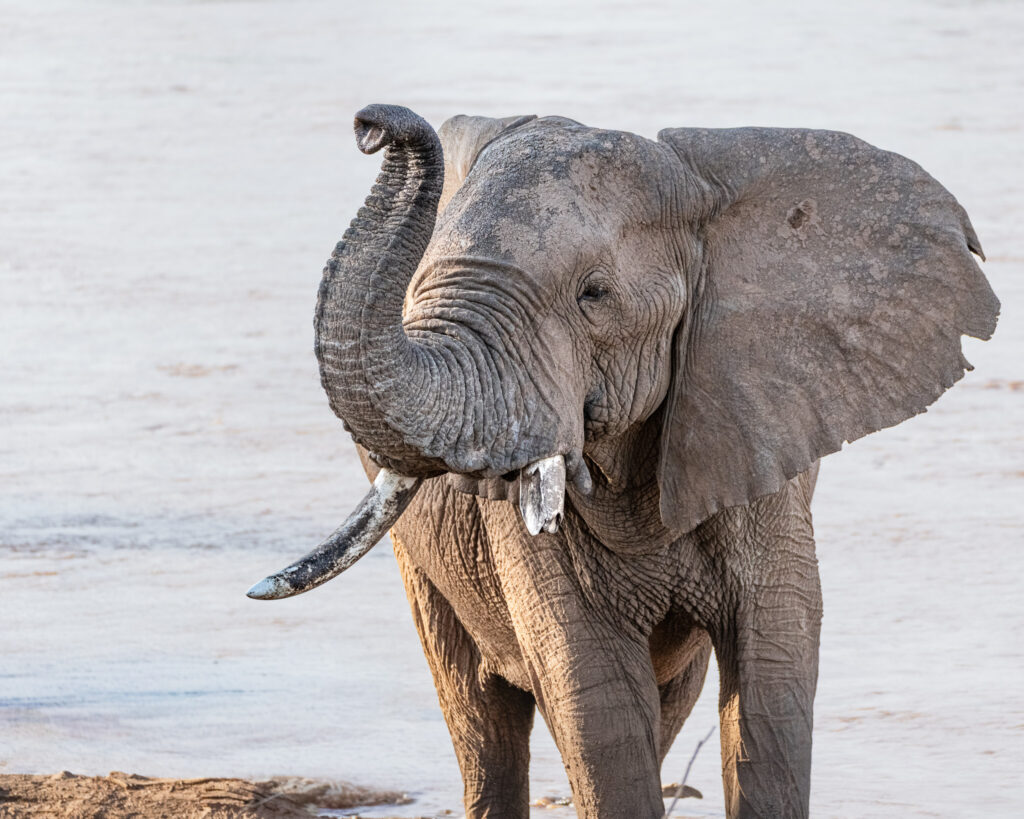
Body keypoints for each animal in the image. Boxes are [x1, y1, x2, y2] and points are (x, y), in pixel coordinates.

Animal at [248, 104, 999, 818]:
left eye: (594, 295)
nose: (372, 124)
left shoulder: (756, 435)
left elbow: (773, 663)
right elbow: (595, 689)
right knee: (480, 718)